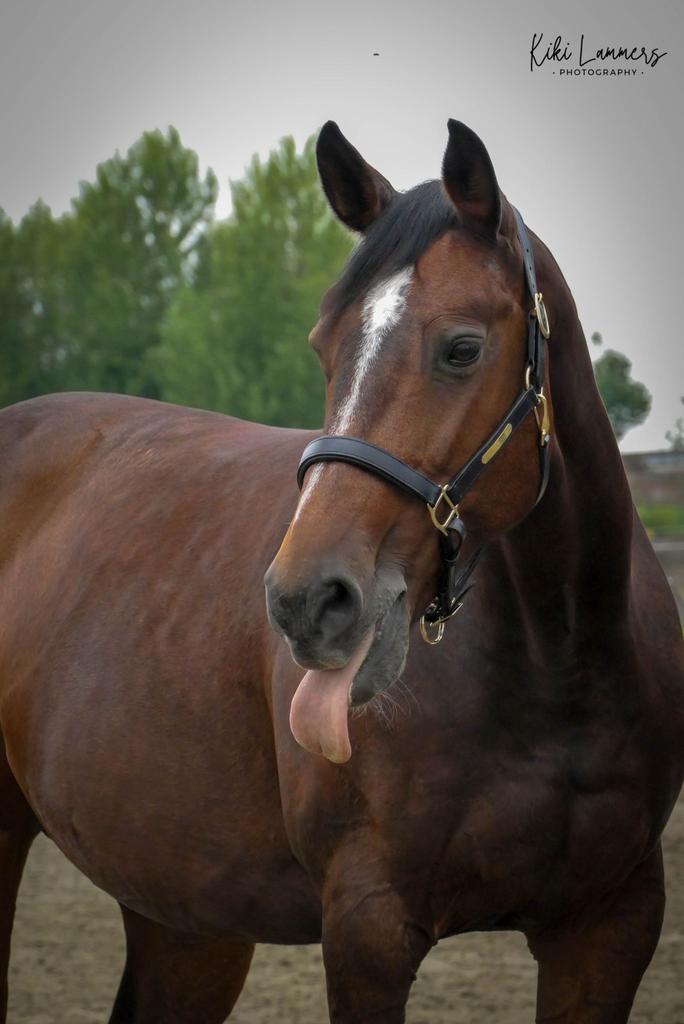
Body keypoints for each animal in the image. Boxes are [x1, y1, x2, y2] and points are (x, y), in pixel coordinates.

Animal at [0, 119, 681, 1024]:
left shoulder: (610, 925)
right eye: (325, 348)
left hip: (183, 910)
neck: (560, 667)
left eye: (462, 348)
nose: (305, 602)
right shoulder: (369, 932)